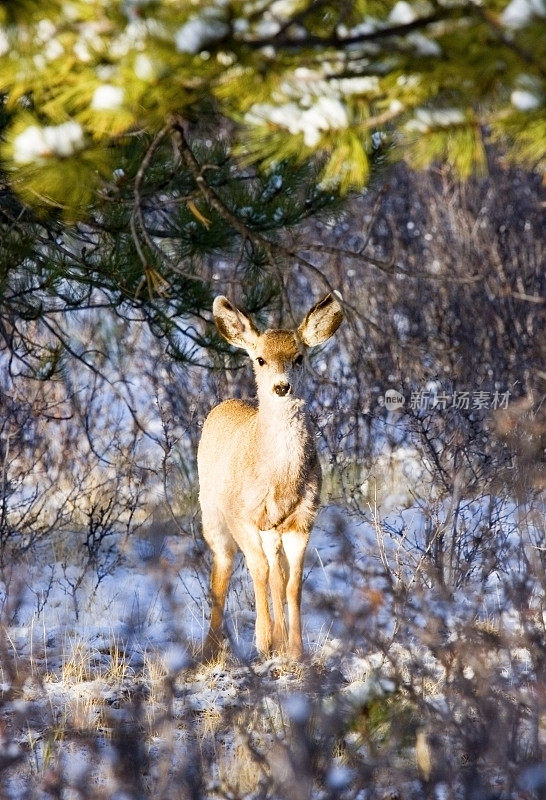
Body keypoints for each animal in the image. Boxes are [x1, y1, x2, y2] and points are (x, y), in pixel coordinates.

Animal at [197, 290, 340, 660]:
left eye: (299, 357)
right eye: (260, 359)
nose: (281, 387)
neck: (279, 480)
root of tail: (225, 403)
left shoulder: (302, 518)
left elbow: (293, 583)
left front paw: (295, 649)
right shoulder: (240, 514)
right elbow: (258, 571)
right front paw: (262, 642)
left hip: (271, 529)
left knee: (278, 573)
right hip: (212, 513)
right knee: (223, 567)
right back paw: (211, 646)